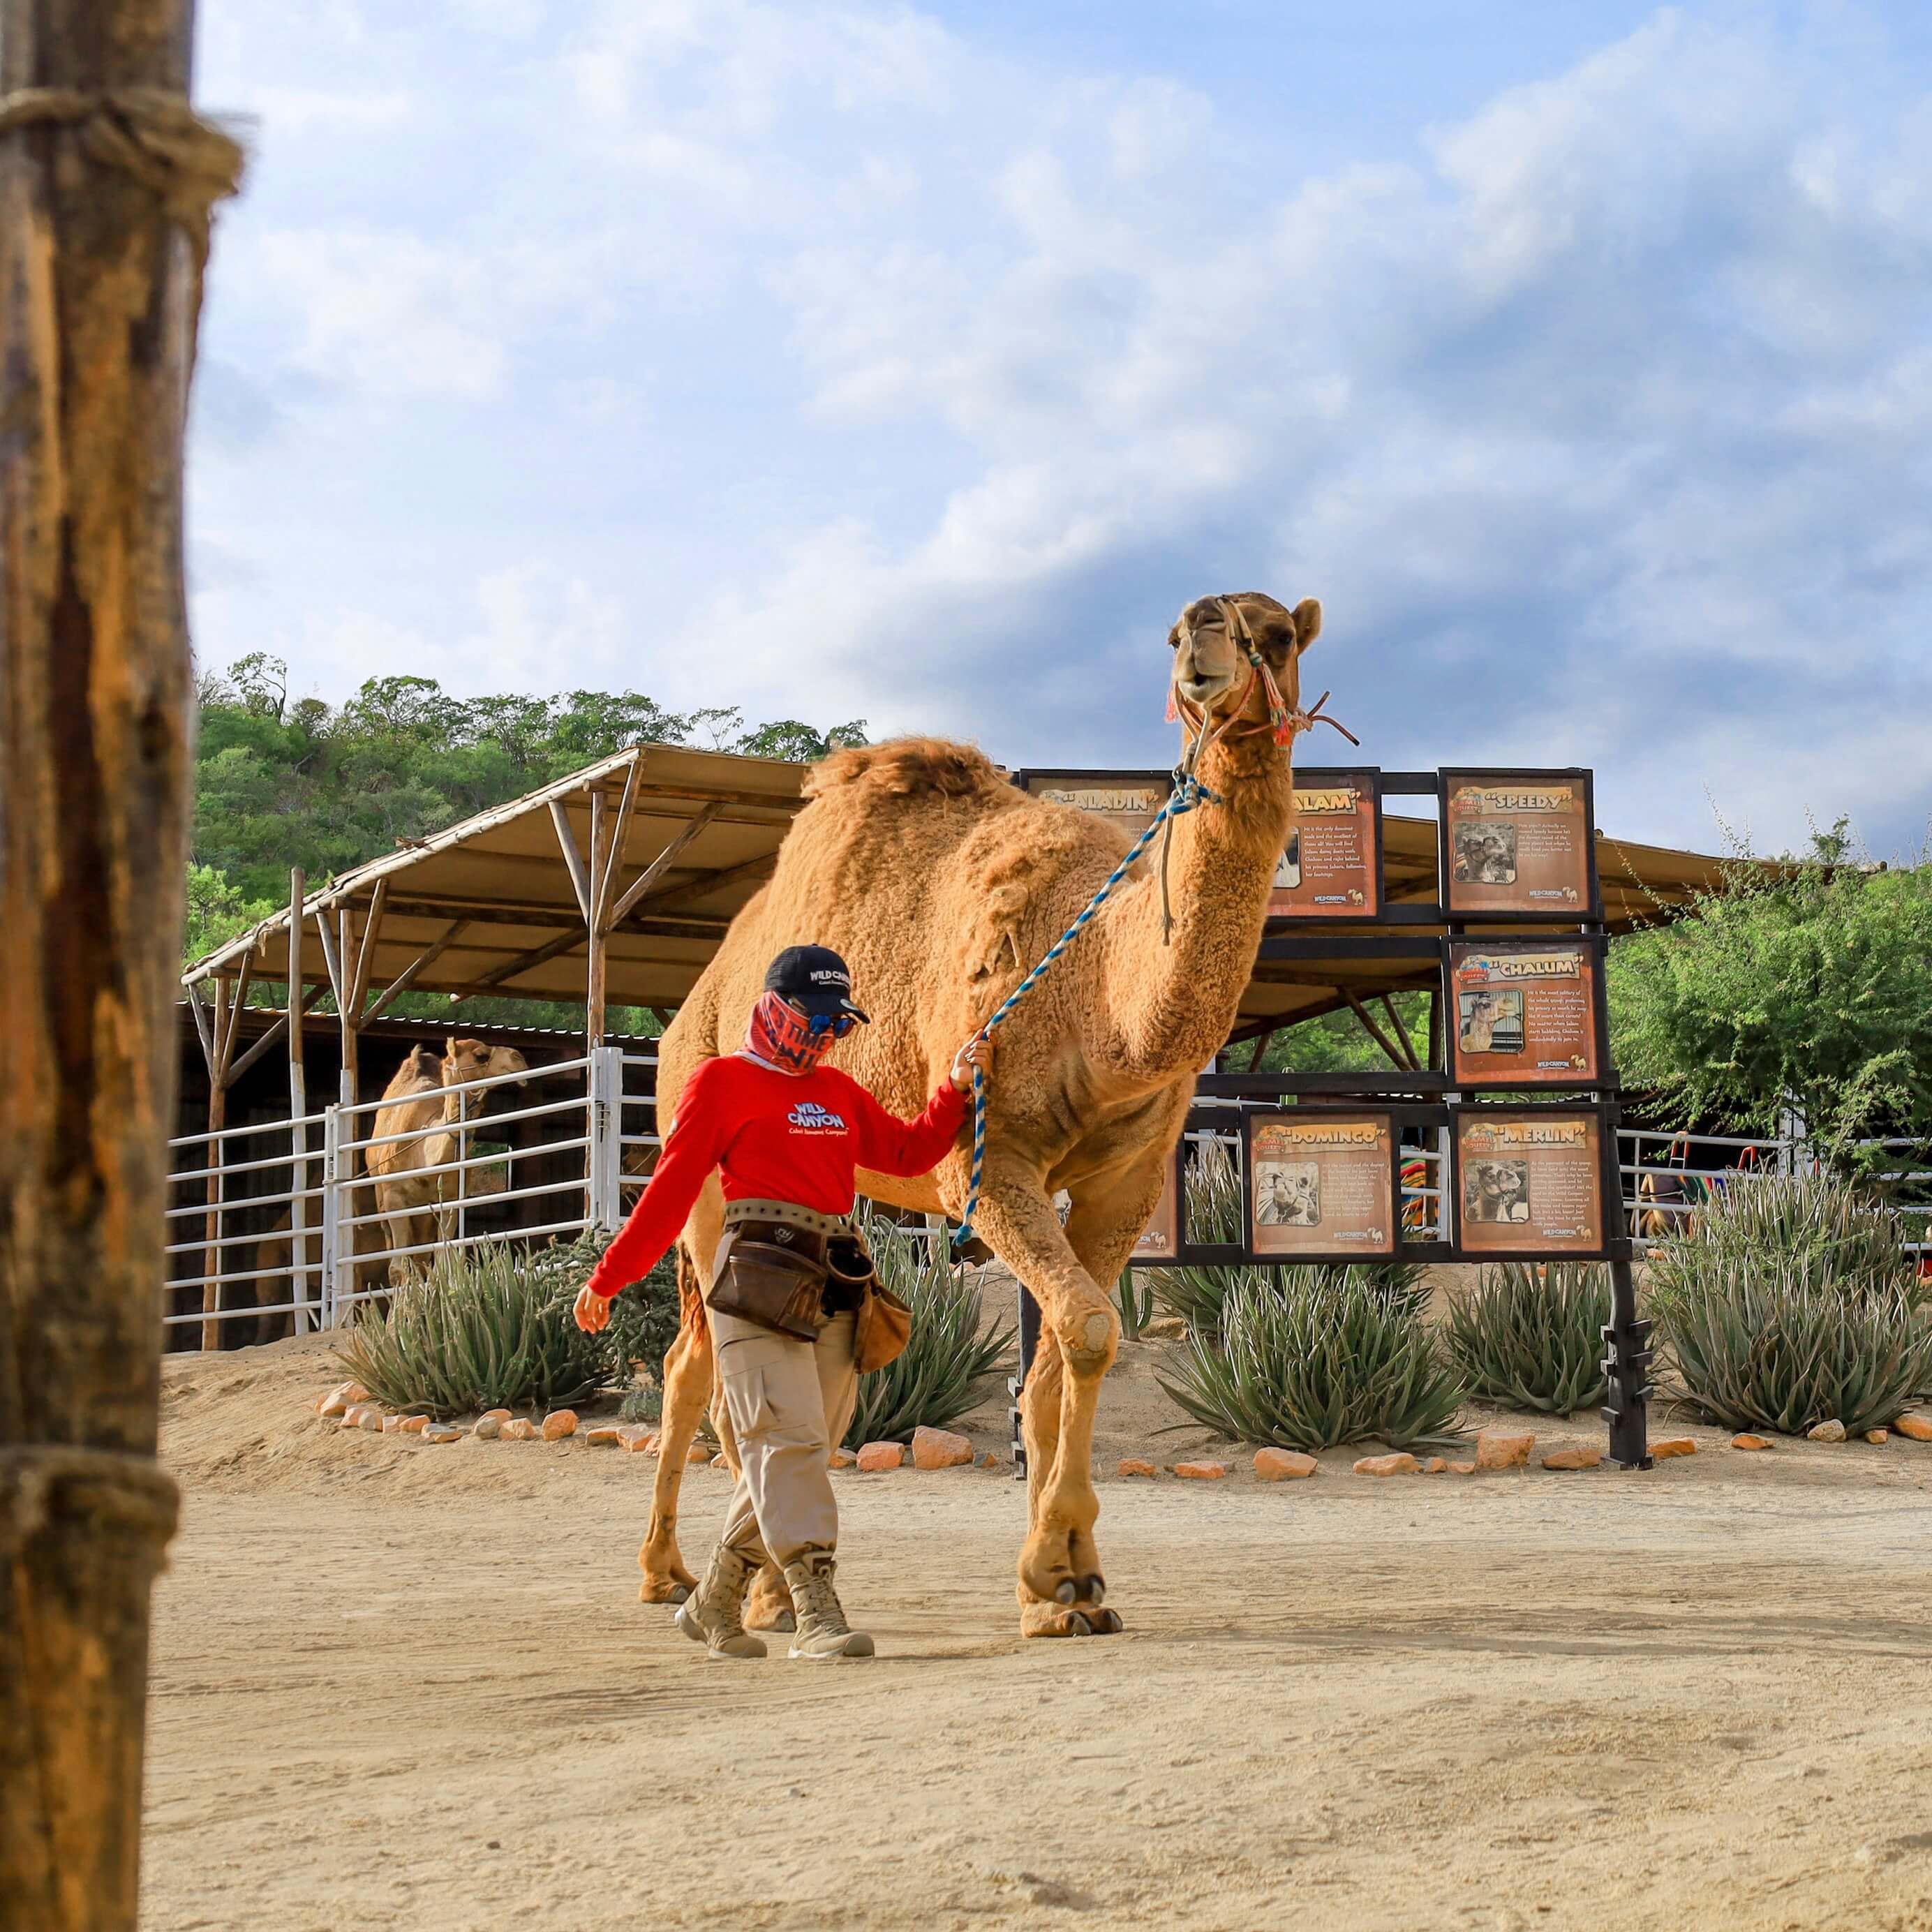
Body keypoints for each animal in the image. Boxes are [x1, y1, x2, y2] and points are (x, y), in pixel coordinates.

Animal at [365, 1037, 530, 1283]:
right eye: (481, 1055)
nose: (520, 1059)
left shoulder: (451, 1199)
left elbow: (443, 1265)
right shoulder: (394, 1197)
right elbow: (398, 1269)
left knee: (422, 1258)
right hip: (383, 1200)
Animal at [636, 589, 1325, 1639]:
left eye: (1277, 635)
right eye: (1176, 633)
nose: (1204, 655)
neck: (1100, 996)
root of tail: (688, 1005)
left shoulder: (1128, 1180)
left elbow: (1061, 1355)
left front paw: (1068, 1586)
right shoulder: (989, 1166)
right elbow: (1088, 1329)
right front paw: (1054, 1573)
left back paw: (745, 1585)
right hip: (703, 1151)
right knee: (702, 1363)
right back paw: (683, 1579)